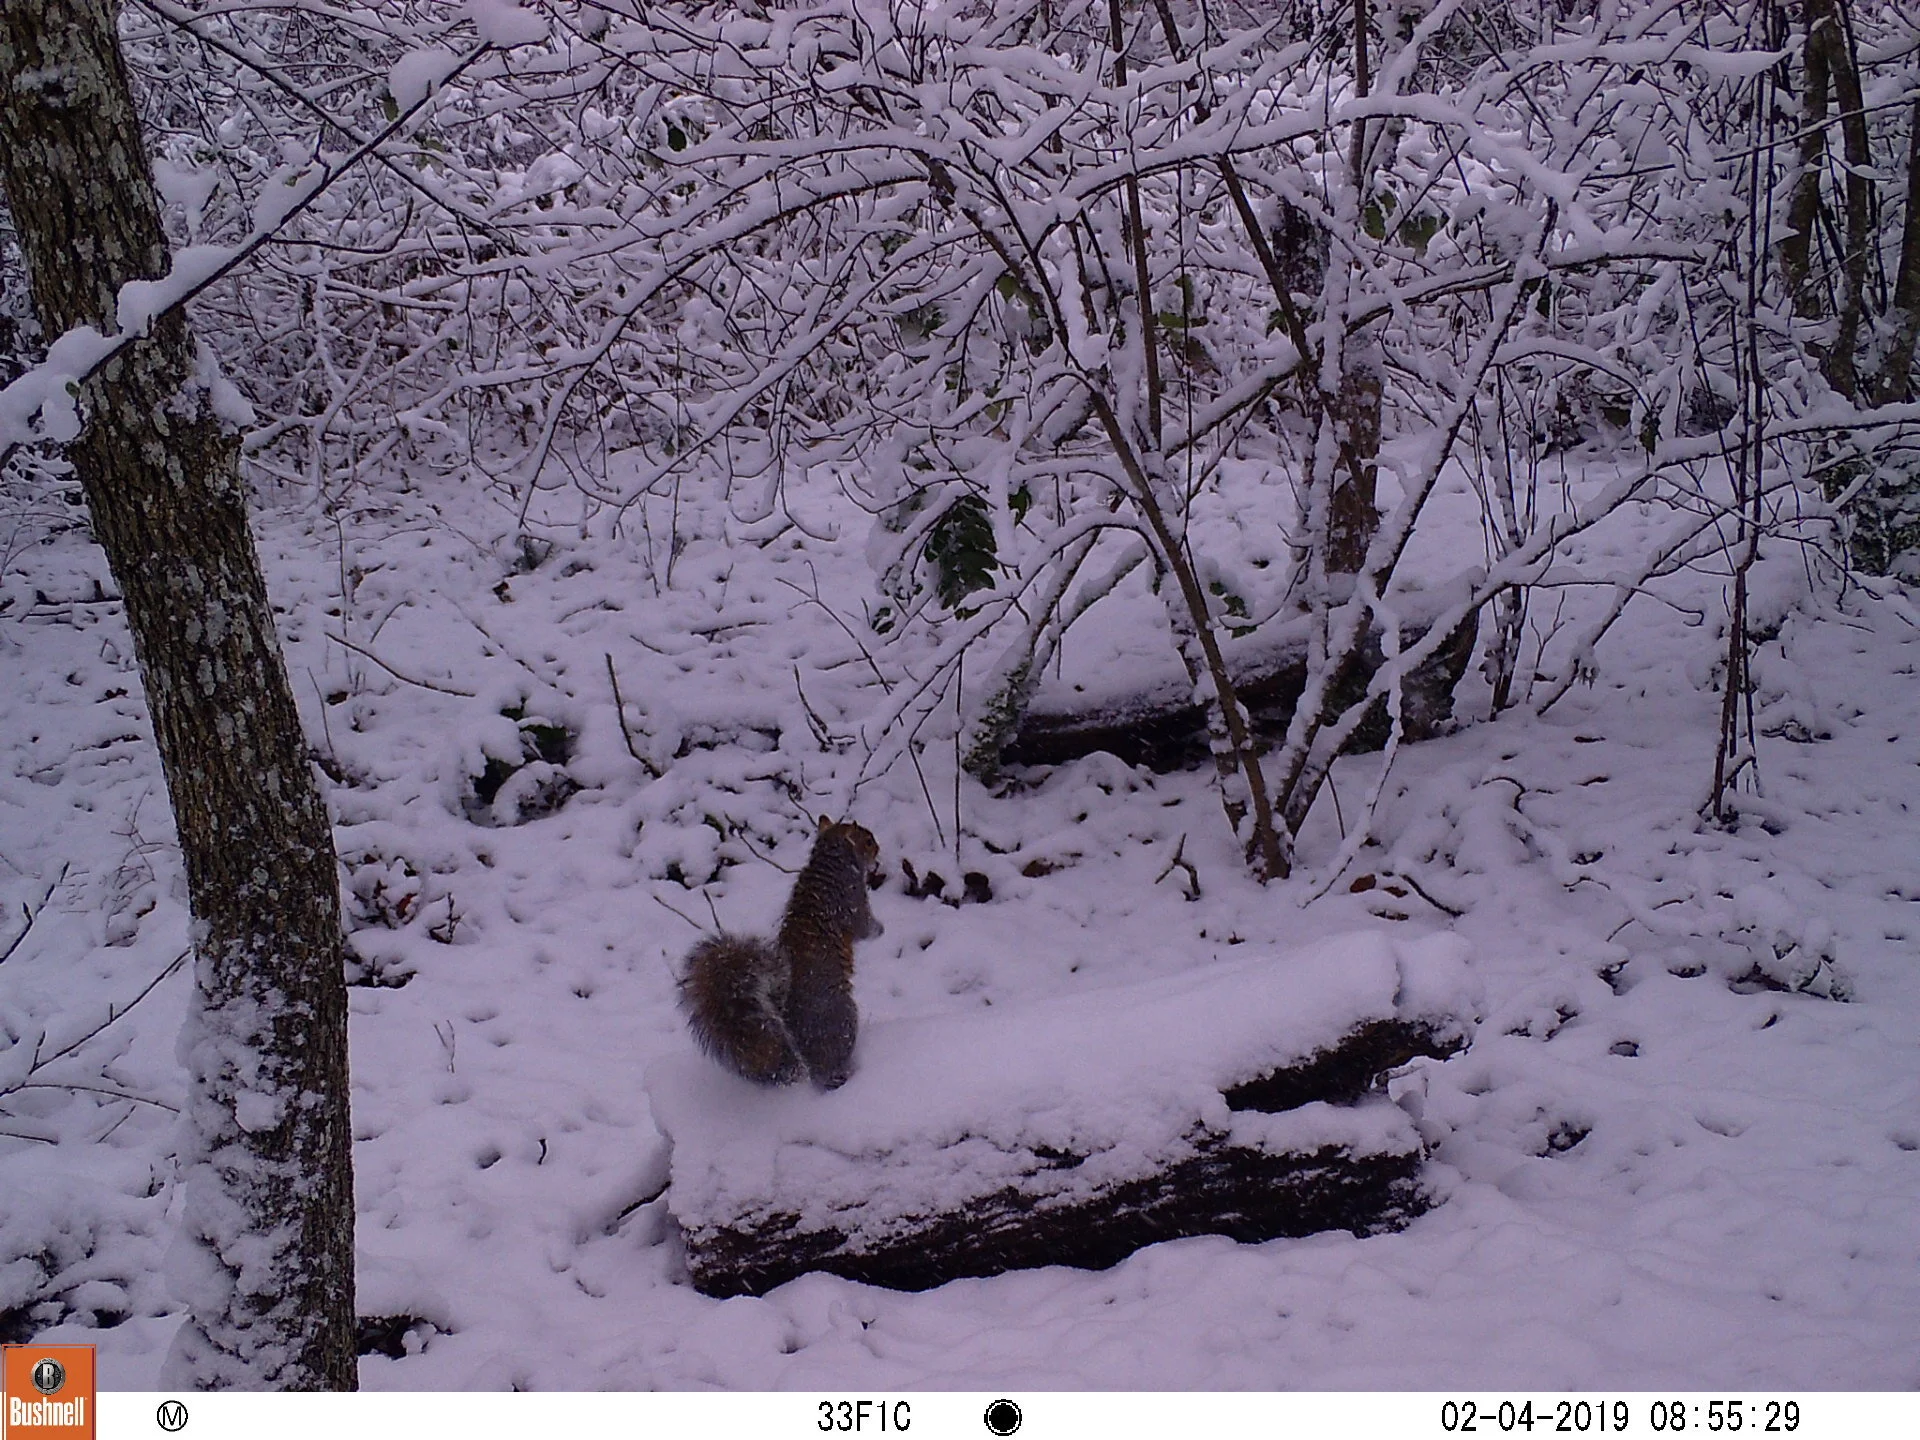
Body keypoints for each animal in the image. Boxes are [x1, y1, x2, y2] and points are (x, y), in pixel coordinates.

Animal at [678, 818, 884, 1090]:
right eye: (867, 841)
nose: (878, 852)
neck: (829, 860)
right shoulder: (851, 899)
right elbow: (864, 926)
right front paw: (880, 929)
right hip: (843, 1016)